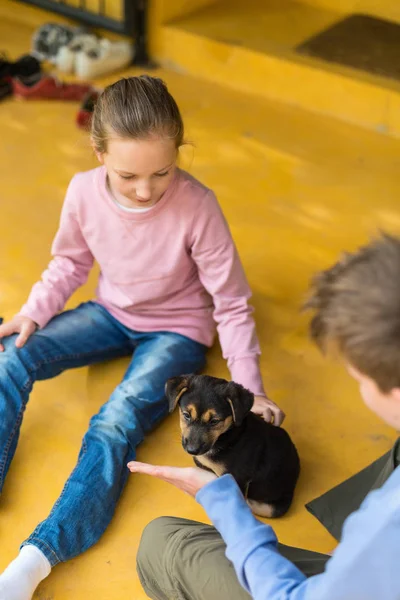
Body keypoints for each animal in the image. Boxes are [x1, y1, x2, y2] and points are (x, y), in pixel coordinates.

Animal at [166, 372, 300, 516]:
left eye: (214, 421)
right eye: (186, 415)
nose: (192, 450)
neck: (226, 436)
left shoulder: (237, 479)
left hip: (273, 507)